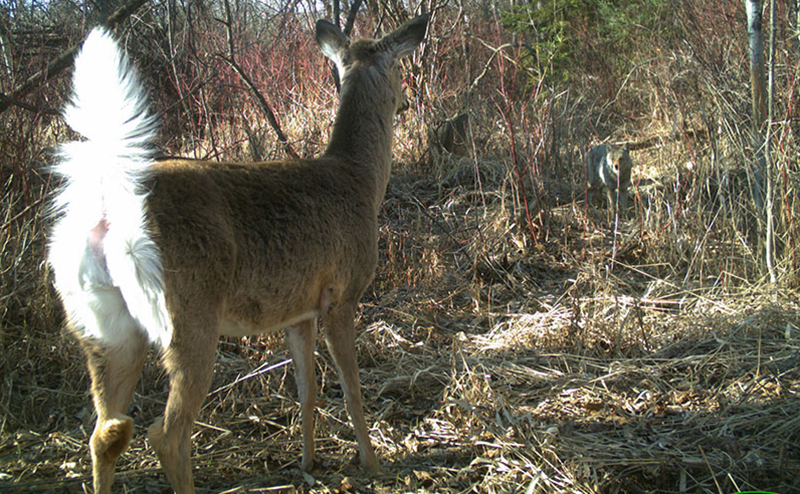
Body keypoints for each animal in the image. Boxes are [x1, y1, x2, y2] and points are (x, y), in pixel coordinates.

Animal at [47, 13, 428, 492]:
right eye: (399, 68)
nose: (407, 100)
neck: (360, 179)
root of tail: (110, 213)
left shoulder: (299, 309)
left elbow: (307, 389)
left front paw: (308, 462)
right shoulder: (343, 294)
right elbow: (351, 387)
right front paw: (372, 462)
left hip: (103, 327)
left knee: (106, 432)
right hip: (187, 314)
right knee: (166, 435)